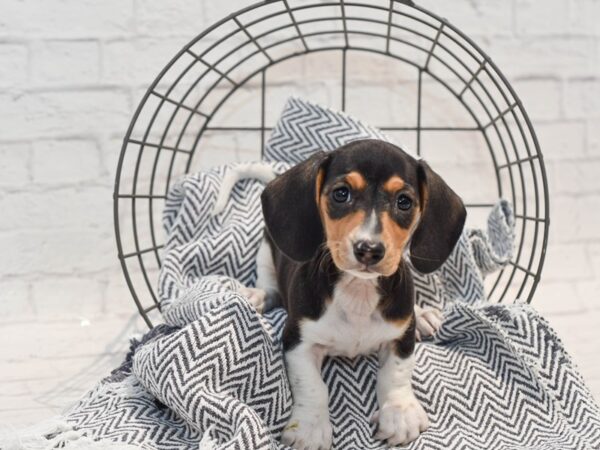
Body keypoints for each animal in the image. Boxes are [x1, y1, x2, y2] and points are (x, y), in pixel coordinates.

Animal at [237, 139, 466, 448]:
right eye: (341, 193)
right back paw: (257, 296)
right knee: (269, 286)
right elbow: (312, 386)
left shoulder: (401, 336)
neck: (359, 291)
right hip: (265, 250)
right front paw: (310, 427)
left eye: (404, 201)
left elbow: (397, 372)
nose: (369, 249)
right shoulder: (298, 341)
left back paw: (423, 315)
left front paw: (399, 413)